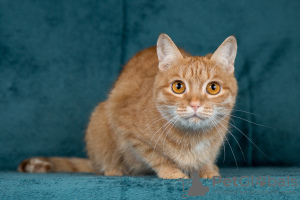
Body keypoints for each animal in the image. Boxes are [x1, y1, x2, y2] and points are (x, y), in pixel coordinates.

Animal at [19, 33, 239, 179]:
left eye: (213, 88)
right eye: (178, 87)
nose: (194, 104)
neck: (193, 138)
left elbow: (207, 159)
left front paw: (207, 170)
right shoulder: (127, 129)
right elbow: (156, 156)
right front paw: (172, 172)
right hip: (100, 118)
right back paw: (114, 170)